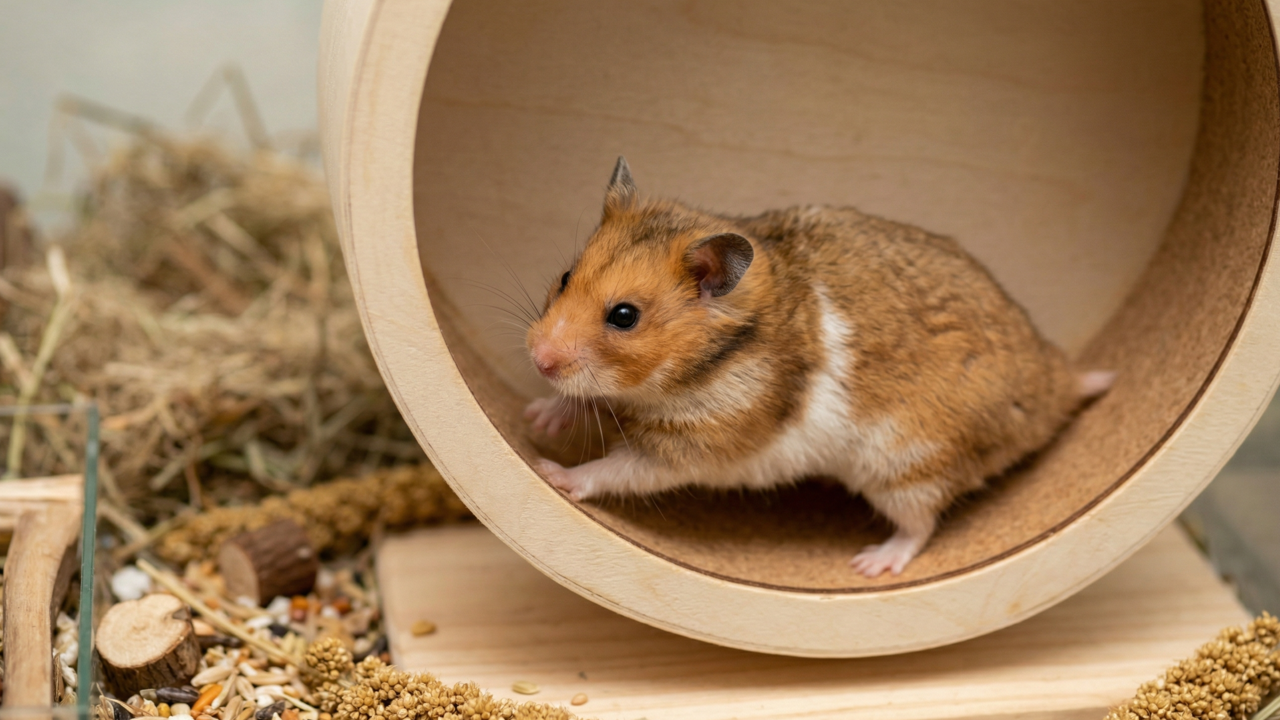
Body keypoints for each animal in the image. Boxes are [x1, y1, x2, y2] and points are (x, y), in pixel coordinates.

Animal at [524, 157, 1113, 578]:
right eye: (565, 275)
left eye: (624, 316)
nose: (537, 359)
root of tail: (1054, 386)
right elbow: (584, 400)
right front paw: (538, 418)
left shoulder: (691, 449)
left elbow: (615, 469)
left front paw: (551, 473)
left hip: (906, 469)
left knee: (921, 527)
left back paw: (872, 563)